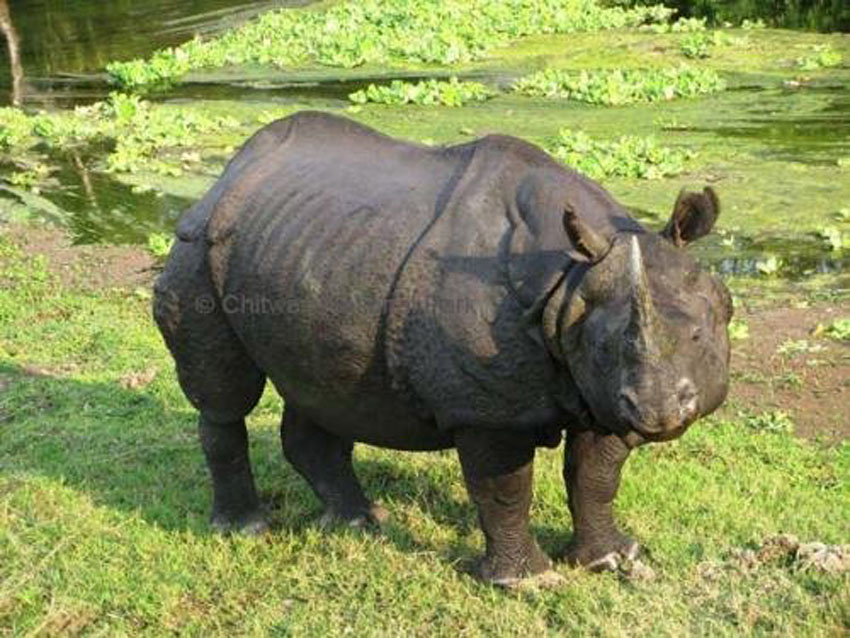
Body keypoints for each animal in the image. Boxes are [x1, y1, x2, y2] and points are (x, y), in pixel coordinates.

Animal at [154, 111, 731, 585]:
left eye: (700, 335)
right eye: (608, 345)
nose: (658, 411)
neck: (567, 281)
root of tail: (229, 174)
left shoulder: (600, 391)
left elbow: (595, 474)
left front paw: (612, 559)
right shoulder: (487, 409)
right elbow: (505, 486)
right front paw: (526, 582)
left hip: (308, 250)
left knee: (321, 389)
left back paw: (361, 522)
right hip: (196, 247)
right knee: (226, 397)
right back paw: (245, 529)